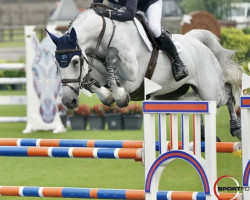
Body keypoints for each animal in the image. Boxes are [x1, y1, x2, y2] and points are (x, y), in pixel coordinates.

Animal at [47, 8, 242, 139]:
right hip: (169, 94)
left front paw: (120, 96)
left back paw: (236, 129)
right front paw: (108, 96)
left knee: (227, 95)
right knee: (193, 100)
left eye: (75, 62)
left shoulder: (133, 77)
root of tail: (198, 42)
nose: (69, 102)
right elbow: (94, 84)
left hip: (211, 91)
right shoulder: (97, 73)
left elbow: (114, 65)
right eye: (56, 64)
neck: (104, 37)